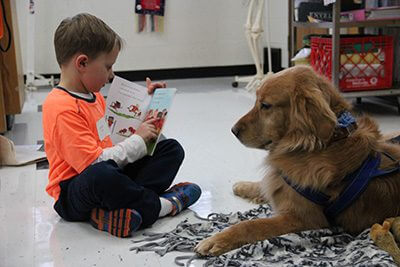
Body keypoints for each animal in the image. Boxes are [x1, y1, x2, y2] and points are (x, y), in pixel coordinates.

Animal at [195, 65, 400, 258]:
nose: (233, 130)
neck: (321, 144)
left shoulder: (304, 218)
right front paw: (244, 186)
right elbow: (266, 185)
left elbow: (252, 224)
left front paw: (217, 240)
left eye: (265, 105)